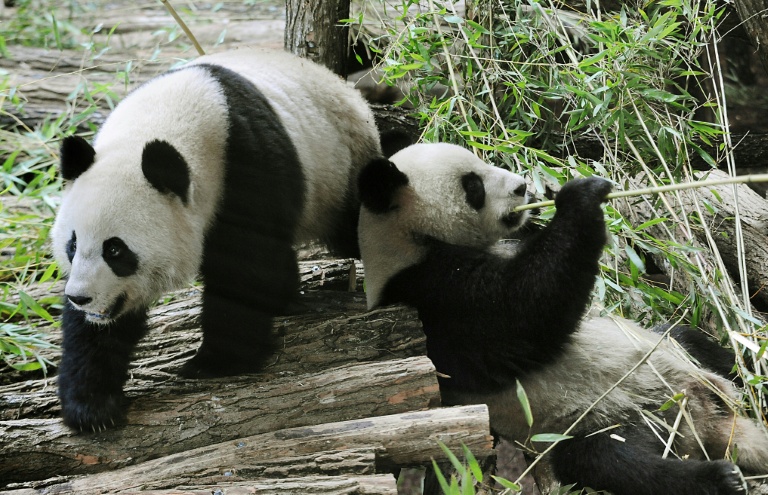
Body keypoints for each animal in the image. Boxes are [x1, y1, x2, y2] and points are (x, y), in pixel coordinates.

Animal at [51, 48, 381, 432]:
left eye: (116, 250)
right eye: (73, 245)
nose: (81, 297)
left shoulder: (244, 162)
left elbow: (246, 266)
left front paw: (216, 362)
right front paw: (92, 406)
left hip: (341, 168)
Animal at [357, 143, 768, 495]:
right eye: (472, 185)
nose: (523, 187)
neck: (408, 241)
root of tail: (706, 420)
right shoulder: (430, 298)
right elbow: (522, 313)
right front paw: (580, 197)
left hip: (674, 358)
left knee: (692, 341)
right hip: (612, 416)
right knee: (607, 461)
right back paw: (718, 478)